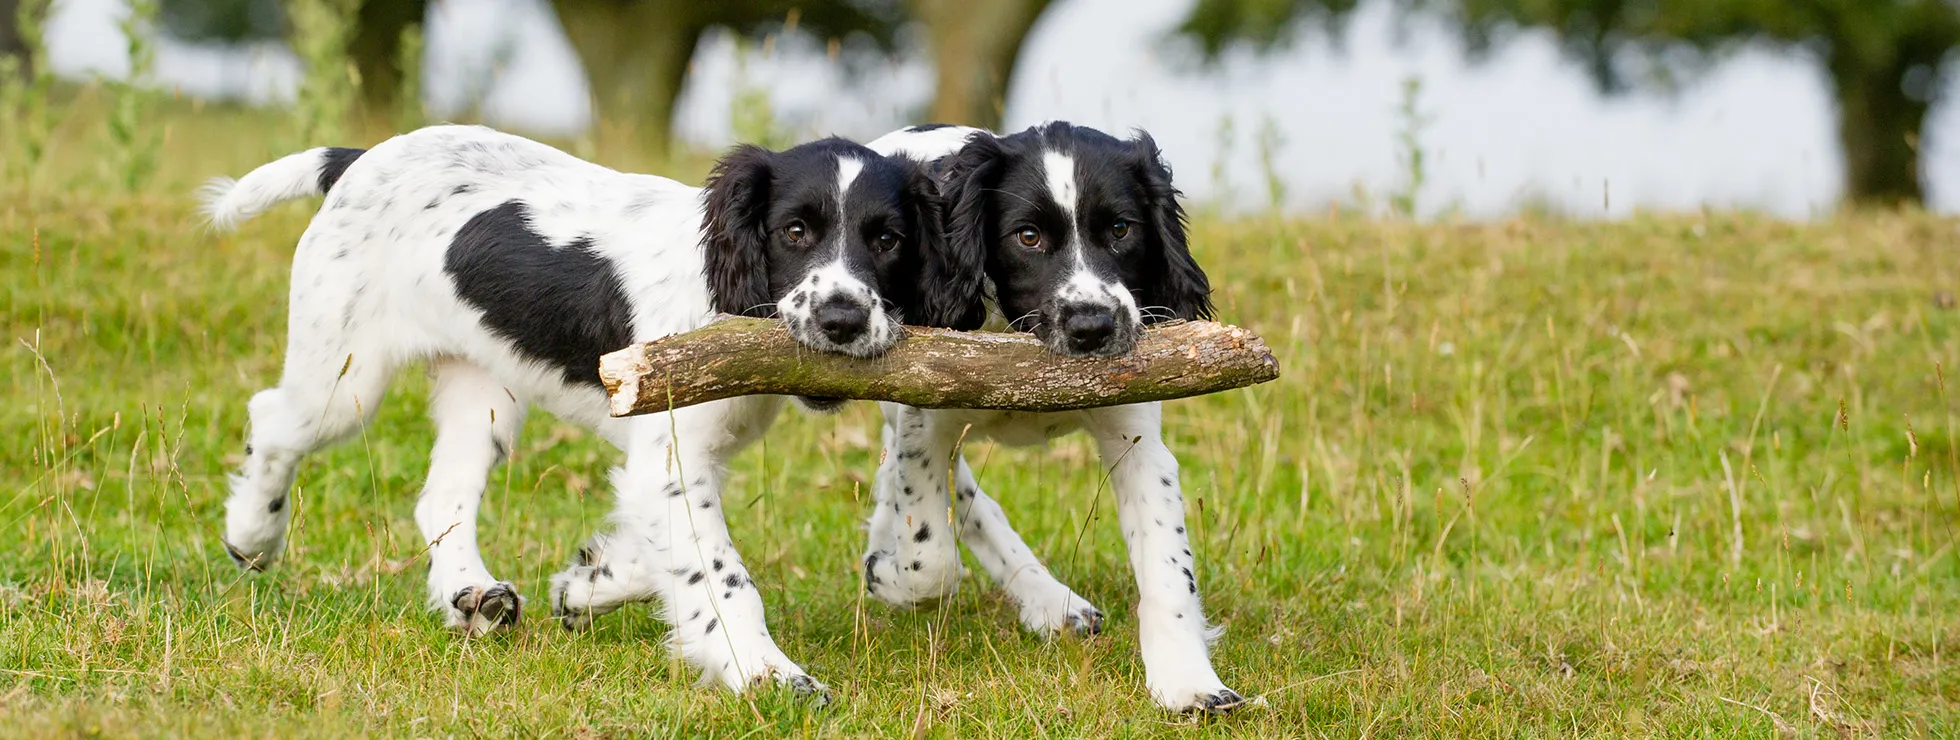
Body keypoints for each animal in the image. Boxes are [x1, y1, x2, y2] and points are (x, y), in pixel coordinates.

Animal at [202, 124, 980, 696]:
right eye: (795, 231)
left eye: (888, 240)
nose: (842, 320)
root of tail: (359, 159)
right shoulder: (672, 451)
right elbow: (722, 574)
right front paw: (765, 672)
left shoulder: (682, 458)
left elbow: (664, 548)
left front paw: (588, 583)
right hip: (346, 378)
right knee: (274, 419)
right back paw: (253, 534)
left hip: (483, 394)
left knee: (440, 498)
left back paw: (471, 594)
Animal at [866, 121, 1230, 712]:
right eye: (1028, 237)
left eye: (1121, 229)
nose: (1092, 326)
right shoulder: (925, 420)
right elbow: (932, 559)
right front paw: (889, 574)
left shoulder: (1138, 444)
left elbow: (1168, 570)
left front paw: (1189, 683)